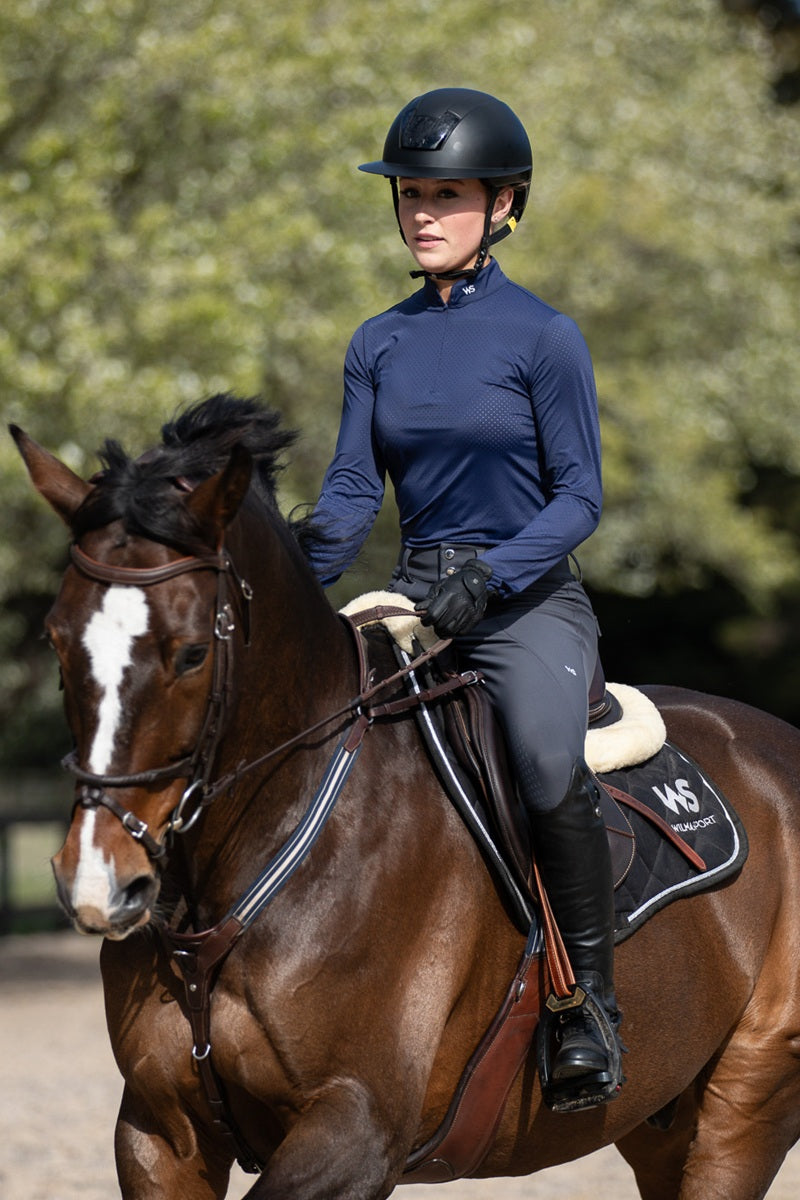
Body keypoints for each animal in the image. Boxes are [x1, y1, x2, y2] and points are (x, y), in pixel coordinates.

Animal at [11, 393, 800, 1200]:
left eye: (193, 652)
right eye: (56, 640)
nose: (98, 880)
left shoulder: (356, 1129)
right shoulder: (157, 1134)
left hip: (744, 1107)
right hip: (664, 1128)